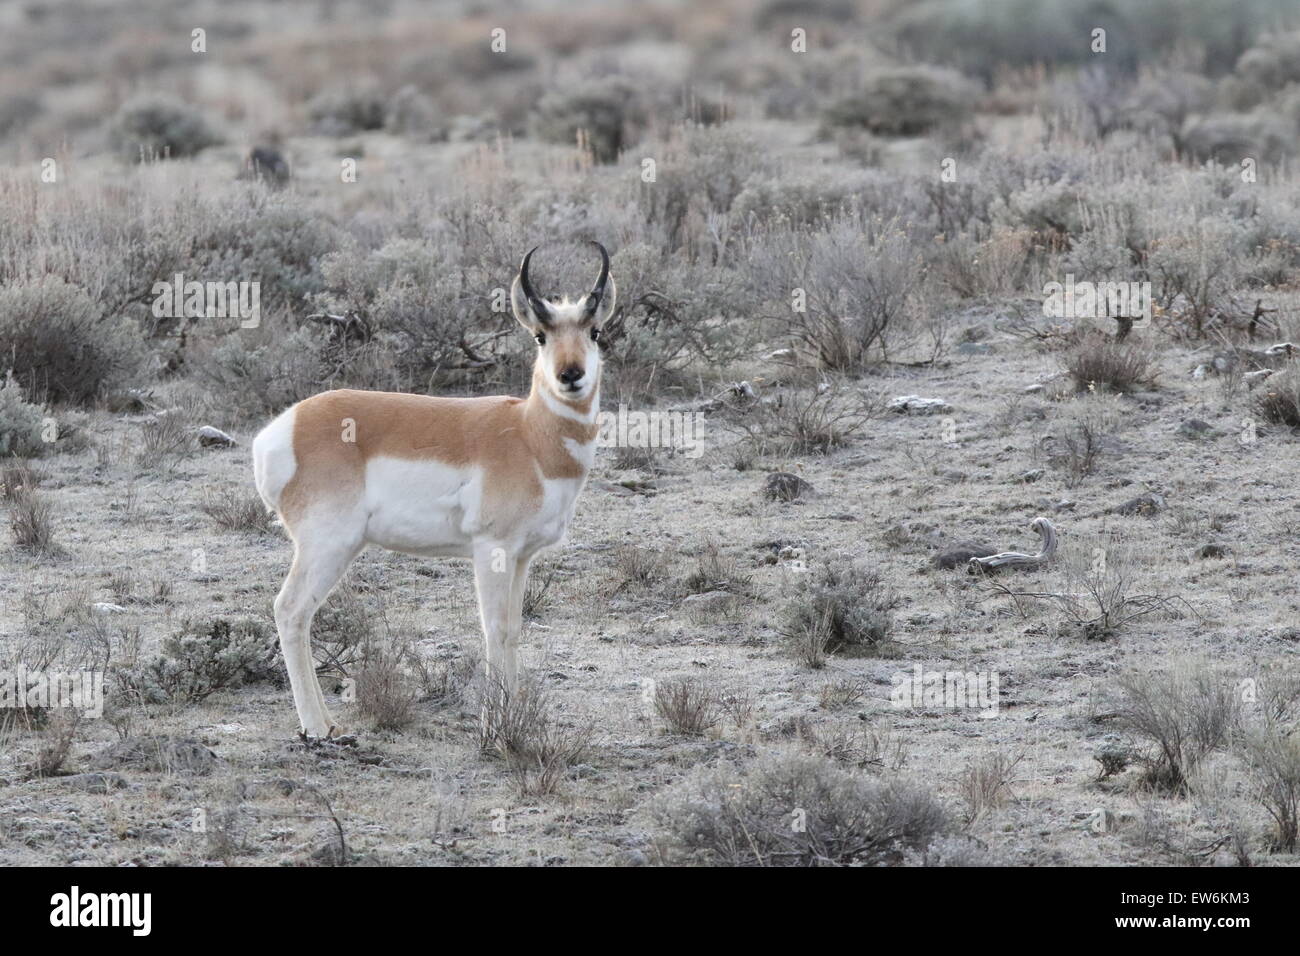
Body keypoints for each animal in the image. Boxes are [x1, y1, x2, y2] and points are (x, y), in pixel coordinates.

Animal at [258, 243, 618, 738]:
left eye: (595, 331)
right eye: (540, 336)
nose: (570, 375)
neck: (529, 433)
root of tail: (283, 429)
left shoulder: (521, 556)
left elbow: (514, 630)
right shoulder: (492, 549)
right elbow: (494, 628)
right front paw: (494, 726)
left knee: (301, 614)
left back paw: (327, 722)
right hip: (327, 546)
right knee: (290, 611)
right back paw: (317, 728)